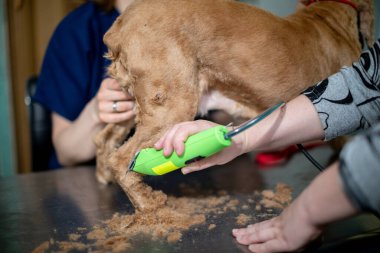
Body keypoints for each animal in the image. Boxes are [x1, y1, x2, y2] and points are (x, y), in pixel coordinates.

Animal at [94, 0, 374, 211]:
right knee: (121, 159)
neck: (327, 17)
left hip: (132, 102)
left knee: (105, 139)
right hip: (171, 105)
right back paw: (149, 205)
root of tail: (117, 30)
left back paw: (105, 177)